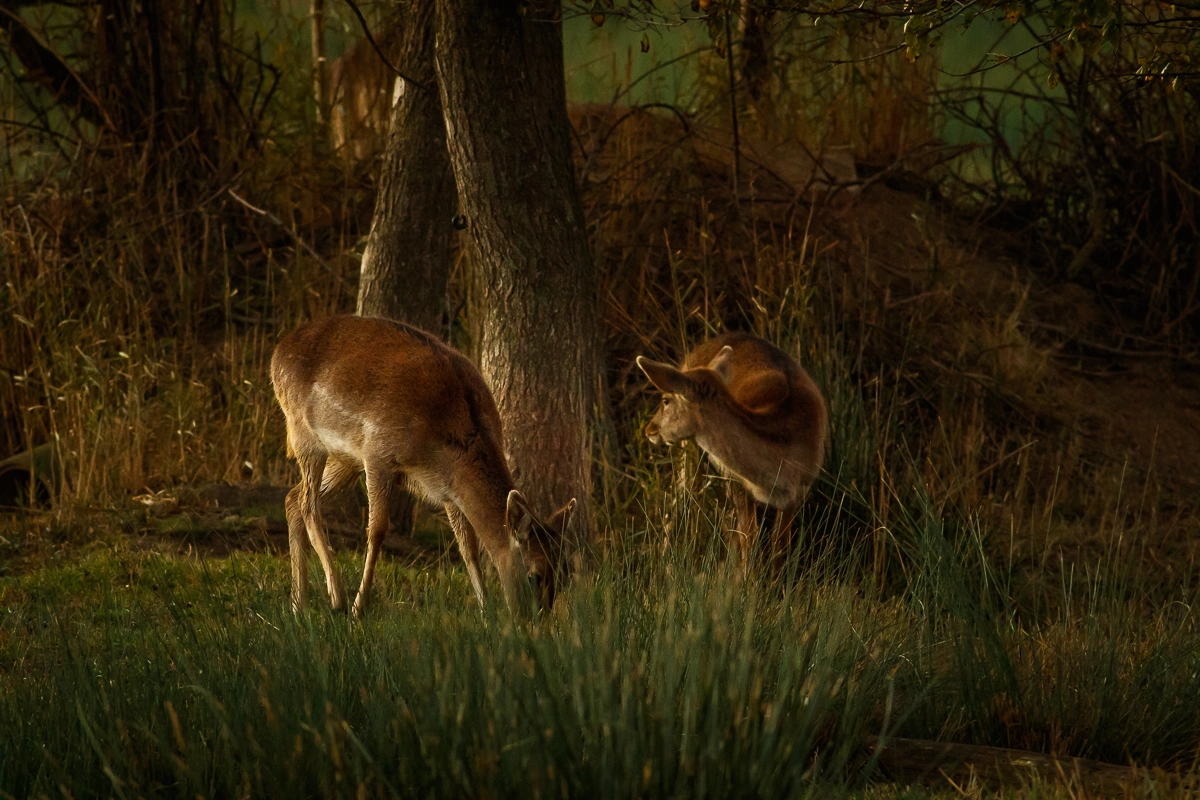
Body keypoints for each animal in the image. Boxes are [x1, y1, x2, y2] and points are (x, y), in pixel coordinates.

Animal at [271, 315, 575, 617]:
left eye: (565, 574)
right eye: (534, 575)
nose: (536, 619)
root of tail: (277, 351)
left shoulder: (447, 491)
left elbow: (468, 548)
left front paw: (485, 612)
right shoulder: (378, 451)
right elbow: (377, 530)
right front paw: (360, 607)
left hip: (345, 458)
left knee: (292, 498)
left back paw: (299, 606)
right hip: (304, 433)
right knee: (308, 504)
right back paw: (337, 597)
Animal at [636, 332, 827, 570]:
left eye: (666, 400)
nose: (649, 429)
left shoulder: (798, 491)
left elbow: (778, 550)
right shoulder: (737, 482)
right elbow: (750, 543)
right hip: (687, 452)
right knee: (683, 502)